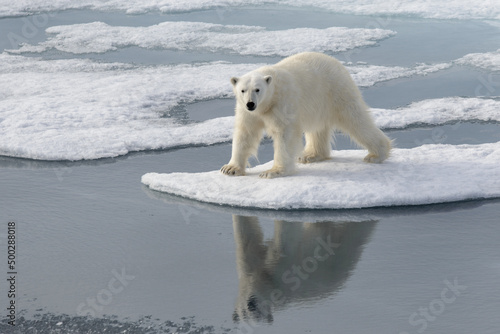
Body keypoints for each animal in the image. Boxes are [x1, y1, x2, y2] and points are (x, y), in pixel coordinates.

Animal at [222, 51, 390, 177]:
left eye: (257, 89)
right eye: (243, 90)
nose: (250, 104)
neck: (267, 103)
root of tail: (338, 63)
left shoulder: (283, 103)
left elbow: (285, 135)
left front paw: (272, 171)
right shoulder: (246, 112)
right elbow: (245, 134)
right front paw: (230, 169)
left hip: (336, 91)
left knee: (356, 120)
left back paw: (376, 155)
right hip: (319, 104)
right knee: (318, 129)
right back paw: (310, 155)